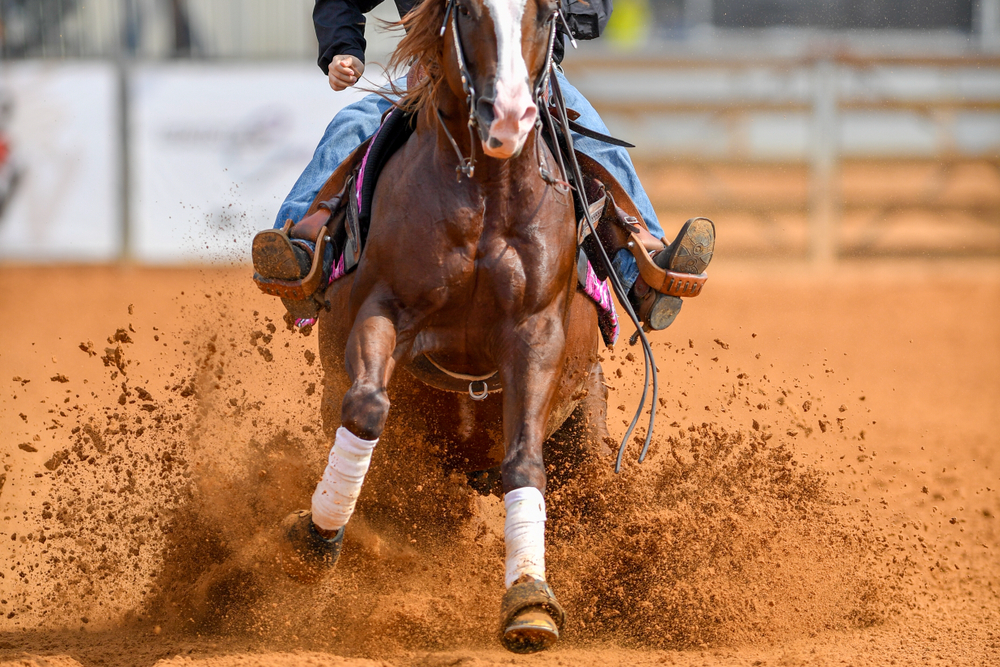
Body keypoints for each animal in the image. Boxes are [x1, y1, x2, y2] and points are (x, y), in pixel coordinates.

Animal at [278, 0, 612, 652]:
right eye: (467, 11)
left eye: (547, 14)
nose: (508, 116)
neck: (484, 193)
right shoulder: (384, 309)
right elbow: (366, 410)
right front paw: (315, 538)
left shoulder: (536, 334)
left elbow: (524, 460)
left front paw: (529, 602)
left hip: (585, 437)